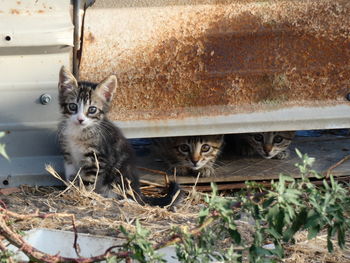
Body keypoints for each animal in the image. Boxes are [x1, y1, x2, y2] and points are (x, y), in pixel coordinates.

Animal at [57, 67, 180, 207]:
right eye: (73, 106)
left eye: (92, 109)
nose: (80, 119)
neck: (79, 131)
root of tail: (138, 191)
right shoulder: (69, 156)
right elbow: (71, 177)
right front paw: (71, 191)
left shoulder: (97, 159)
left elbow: (87, 181)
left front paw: (83, 194)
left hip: (117, 175)